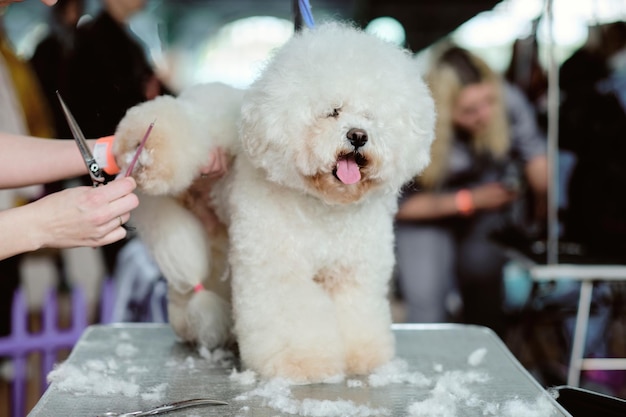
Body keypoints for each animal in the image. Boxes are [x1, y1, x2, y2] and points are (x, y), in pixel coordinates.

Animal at [112, 21, 434, 382]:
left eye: (371, 116)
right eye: (332, 112)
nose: (358, 136)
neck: (324, 205)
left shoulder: (353, 272)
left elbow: (355, 313)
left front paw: (360, 355)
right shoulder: (278, 269)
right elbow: (289, 317)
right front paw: (301, 362)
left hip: (219, 236)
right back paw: (144, 145)